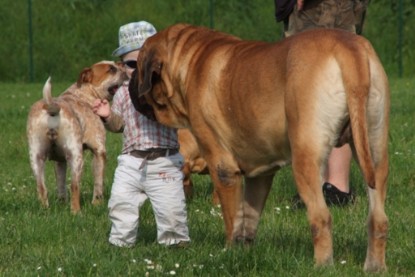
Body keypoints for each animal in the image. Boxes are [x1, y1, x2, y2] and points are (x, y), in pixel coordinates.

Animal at [27, 59, 127, 211]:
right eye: (111, 69)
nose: (124, 66)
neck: (84, 94)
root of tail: (51, 106)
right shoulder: (99, 151)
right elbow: (98, 183)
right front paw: (97, 204)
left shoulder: (59, 161)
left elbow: (61, 184)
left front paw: (62, 203)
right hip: (76, 157)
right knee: (74, 186)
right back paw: (76, 211)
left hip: (36, 158)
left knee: (42, 188)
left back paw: (45, 211)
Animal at [130, 23, 390, 270]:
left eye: (137, 67)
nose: (130, 83)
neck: (189, 60)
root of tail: (348, 47)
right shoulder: (260, 174)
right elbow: (249, 218)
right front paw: (244, 252)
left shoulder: (223, 168)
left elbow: (232, 219)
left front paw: (229, 252)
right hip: (375, 153)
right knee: (378, 219)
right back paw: (374, 267)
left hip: (306, 159)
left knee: (321, 217)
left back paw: (322, 266)